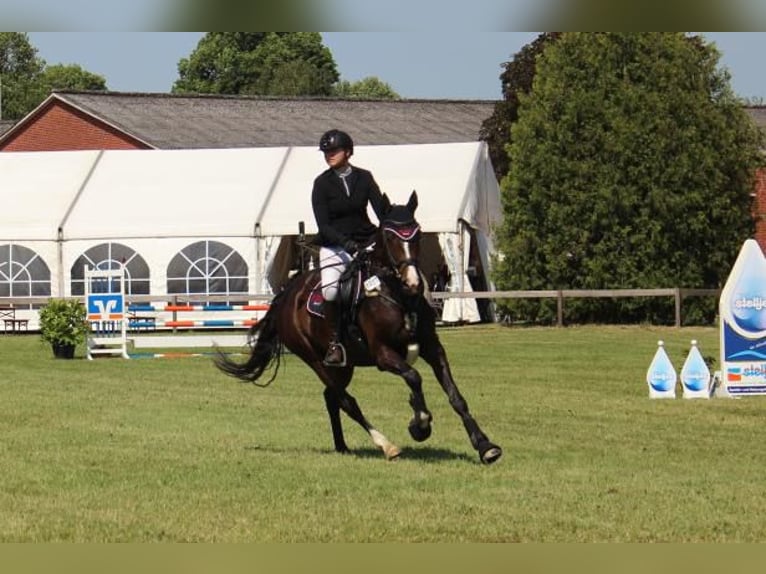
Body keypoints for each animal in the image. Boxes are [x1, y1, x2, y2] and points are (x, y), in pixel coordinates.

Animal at [216, 191, 504, 466]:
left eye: (418, 233)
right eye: (388, 236)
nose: (413, 283)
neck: (399, 295)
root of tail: (287, 295)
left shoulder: (433, 348)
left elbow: (456, 396)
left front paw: (485, 446)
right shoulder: (383, 354)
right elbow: (414, 377)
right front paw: (420, 425)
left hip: (345, 366)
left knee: (332, 398)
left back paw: (342, 446)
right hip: (316, 360)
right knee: (346, 401)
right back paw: (387, 446)